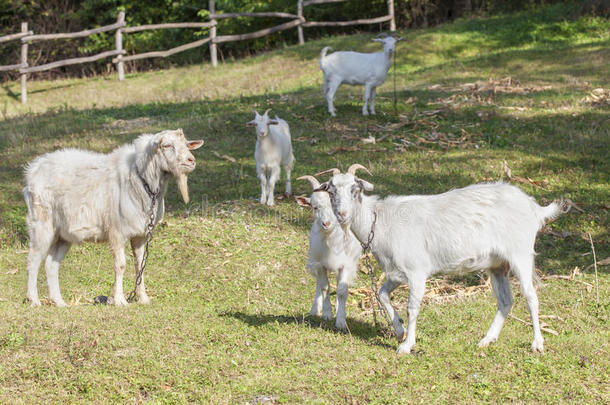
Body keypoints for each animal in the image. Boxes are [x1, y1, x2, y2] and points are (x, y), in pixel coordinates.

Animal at [22, 129, 203, 306]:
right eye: (166, 145)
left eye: (186, 144)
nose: (191, 160)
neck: (140, 180)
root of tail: (33, 169)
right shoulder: (117, 232)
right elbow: (120, 265)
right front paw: (120, 300)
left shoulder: (140, 235)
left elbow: (140, 265)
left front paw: (143, 298)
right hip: (41, 223)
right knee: (33, 260)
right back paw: (34, 300)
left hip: (63, 234)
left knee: (51, 265)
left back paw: (59, 302)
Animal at [294, 173, 360, 328]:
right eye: (315, 207)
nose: (326, 223)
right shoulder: (320, 264)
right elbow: (325, 287)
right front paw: (326, 313)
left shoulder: (345, 265)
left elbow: (342, 290)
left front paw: (341, 320)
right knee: (319, 284)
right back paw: (315, 309)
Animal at [316, 164, 568, 354]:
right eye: (331, 191)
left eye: (355, 189)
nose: (342, 215)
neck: (380, 220)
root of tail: (535, 208)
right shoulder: (397, 273)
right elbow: (382, 294)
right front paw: (399, 330)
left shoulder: (417, 271)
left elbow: (412, 307)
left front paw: (407, 345)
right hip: (497, 264)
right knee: (506, 300)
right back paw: (487, 340)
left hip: (520, 253)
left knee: (531, 296)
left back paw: (537, 344)